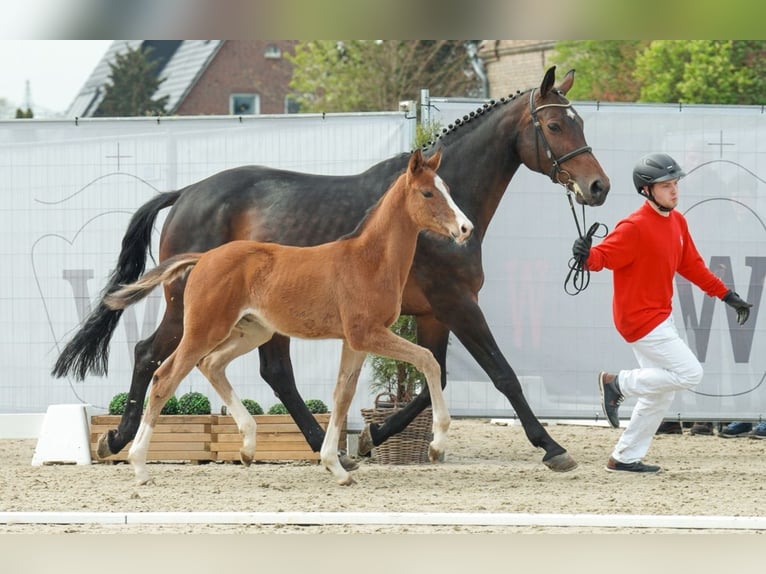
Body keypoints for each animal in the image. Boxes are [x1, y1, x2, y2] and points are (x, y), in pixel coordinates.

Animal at [103, 148, 474, 486]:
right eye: (427, 193)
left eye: (448, 189)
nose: (465, 228)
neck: (368, 260)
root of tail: (203, 257)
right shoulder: (367, 333)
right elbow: (429, 361)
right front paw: (437, 446)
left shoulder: (355, 341)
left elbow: (343, 395)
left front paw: (336, 466)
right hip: (203, 329)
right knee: (165, 376)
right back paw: (138, 465)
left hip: (253, 332)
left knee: (211, 364)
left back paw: (248, 446)